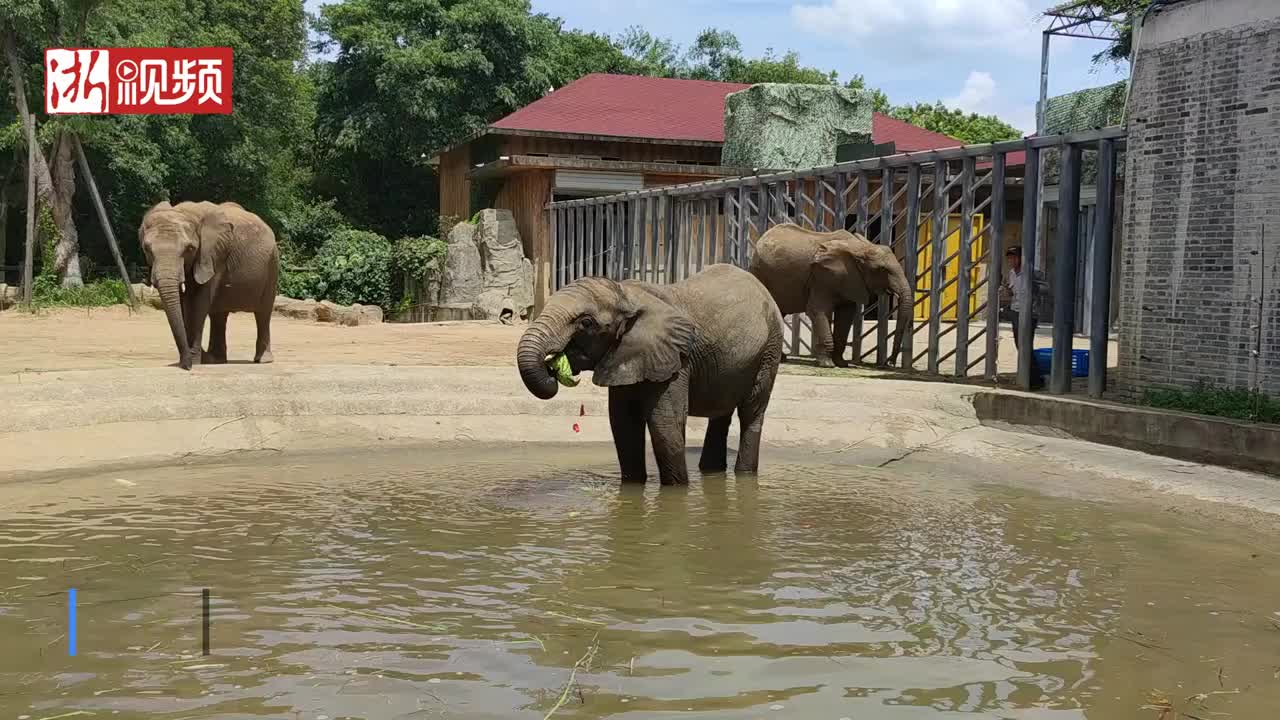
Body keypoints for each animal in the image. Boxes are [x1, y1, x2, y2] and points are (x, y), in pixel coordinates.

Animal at [138, 199, 279, 368]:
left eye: (189, 249)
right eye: (147, 249)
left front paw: (194, 360)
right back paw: (216, 360)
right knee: (219, 315)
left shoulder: (213, 255)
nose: (186, 367)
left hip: (272, 265)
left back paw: (262, 360)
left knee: (263, 312)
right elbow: (184, 303)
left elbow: (199, 303)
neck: (186, 212)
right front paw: (191, 360)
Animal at [514, 260, 783, 484]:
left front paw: (676, 492)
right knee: (721, 414)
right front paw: (632, 487)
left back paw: (744, 473)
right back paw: (711, 471)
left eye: (586, 323)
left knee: (751, 412)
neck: (627, 296)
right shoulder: (625, 356)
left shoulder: (677, 360)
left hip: (770, 350)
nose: (553, 370)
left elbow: (664, 426)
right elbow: (623, 425)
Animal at [747, 222, 916, 368]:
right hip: (761, 272)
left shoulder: (849, 280)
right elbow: (817, 310)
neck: (860, 247)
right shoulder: (822, 277)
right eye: (881, 269)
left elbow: (846, 314)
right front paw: (827, 364)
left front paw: (842, 364)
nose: (891, 363)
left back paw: (782, 358)